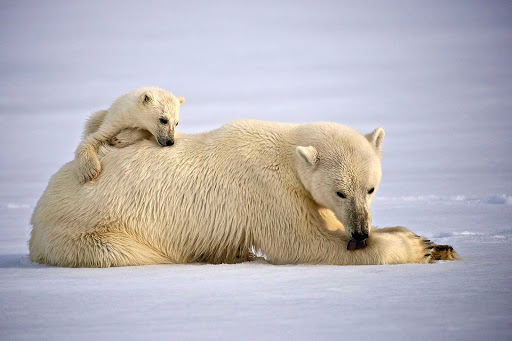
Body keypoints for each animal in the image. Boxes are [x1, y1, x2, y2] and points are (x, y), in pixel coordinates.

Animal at [29, 119, 460, 266]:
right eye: (340, 192)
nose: (361, 233)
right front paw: (416, 248)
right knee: (131, 253)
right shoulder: (269, 191)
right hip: (86, 231)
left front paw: (437, 244)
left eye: (370, 188)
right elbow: (305, 243)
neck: (284, 150)